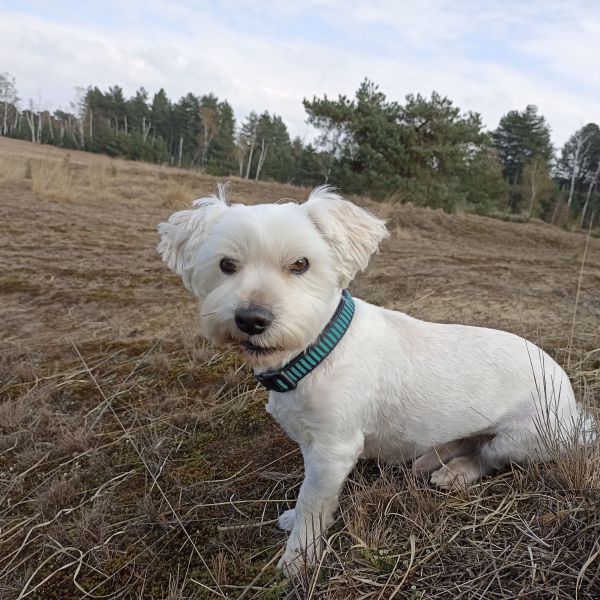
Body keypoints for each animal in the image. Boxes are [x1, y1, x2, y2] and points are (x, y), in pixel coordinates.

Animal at [157, 184, 588, 576]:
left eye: (301, 264)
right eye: (226, 265)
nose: (252, 319)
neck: (316, 351)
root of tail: (570, 399)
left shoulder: (334, 449)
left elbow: (313, 502)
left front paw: (298, 557)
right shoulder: (313, 446)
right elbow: (310, 497)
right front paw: (295, 522)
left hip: (524, 438)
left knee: (489, 455)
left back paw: (457, 471)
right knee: (468, 439)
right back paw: (431, 457)